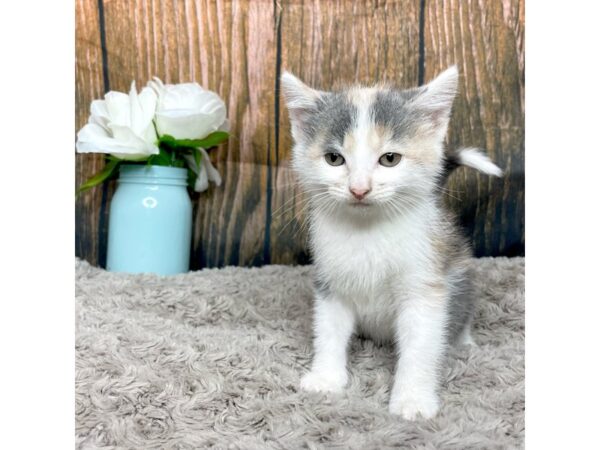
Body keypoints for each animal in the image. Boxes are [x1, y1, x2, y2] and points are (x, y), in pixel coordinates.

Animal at [280, 67, 502, 422]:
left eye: (389, 159)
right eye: (334, 159)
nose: (359, 189)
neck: (368, 231)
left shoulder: (425, 286)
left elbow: (420, 346)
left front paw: (412, 400)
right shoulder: (330, 281)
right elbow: (329, 329)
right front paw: (326, 378)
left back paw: (463, 340)